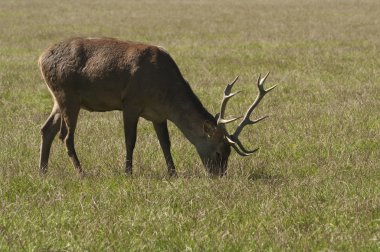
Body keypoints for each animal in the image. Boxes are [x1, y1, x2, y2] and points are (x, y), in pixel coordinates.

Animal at [38, 38, 276, 178]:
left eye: (229, 153)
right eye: (219, 152)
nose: (219, 176)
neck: (164, 91)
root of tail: (41, 58)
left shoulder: (158, 115)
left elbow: (165, 144)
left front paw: (173, 173)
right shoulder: (131, 102)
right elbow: (130, 140)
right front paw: (128, 172)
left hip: (59, 99)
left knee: (46, 129)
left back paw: (43, 171)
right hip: (68, 95)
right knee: (66, 136)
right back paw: (81, 172)